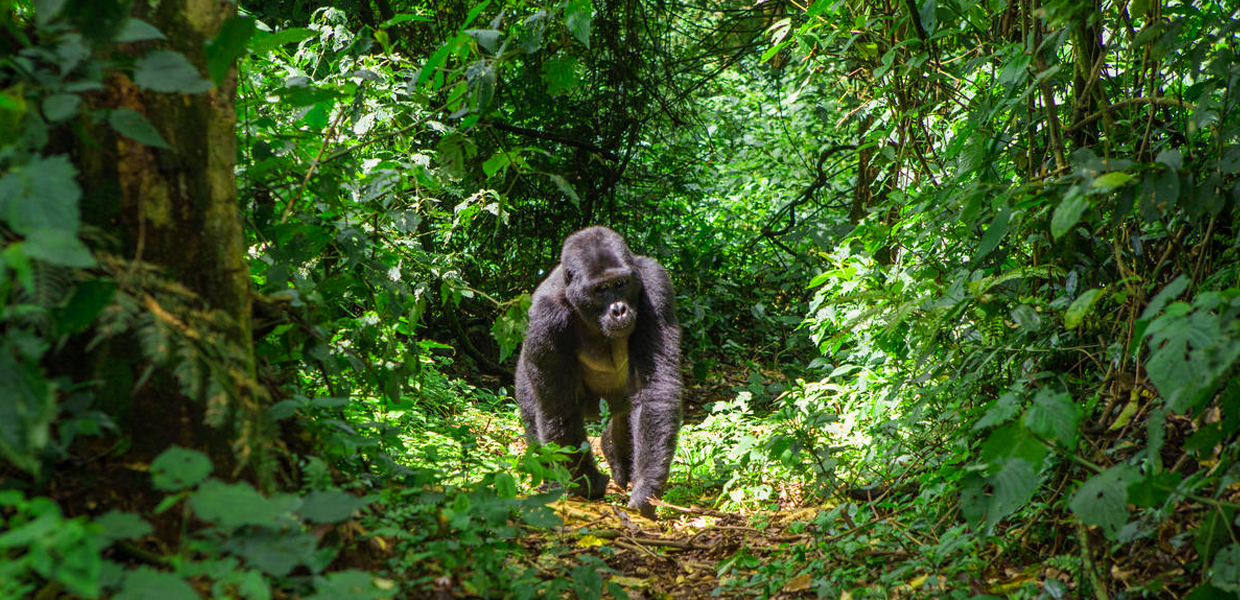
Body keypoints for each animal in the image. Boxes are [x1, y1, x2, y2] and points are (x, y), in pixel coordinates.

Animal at [515, 226, 684, 518]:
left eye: (621, 284)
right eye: (600, 290)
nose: (619, 310)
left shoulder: (655, 284)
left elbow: (655, 388)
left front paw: (646, 487)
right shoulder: (544, 316)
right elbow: (559, 409)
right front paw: (587, 484)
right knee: (535, 413)